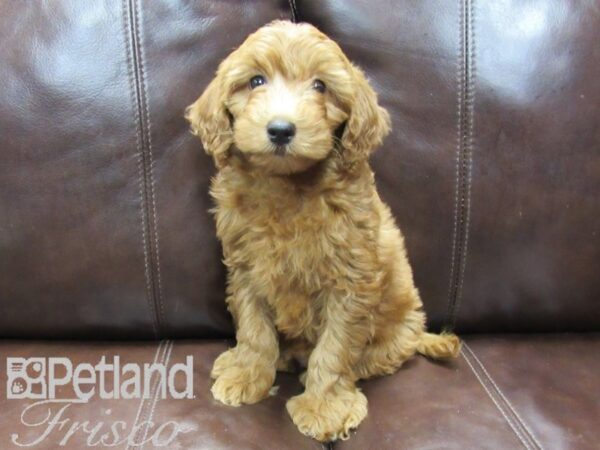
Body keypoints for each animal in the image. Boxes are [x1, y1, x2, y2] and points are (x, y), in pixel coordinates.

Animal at [186, 20, 460, 440]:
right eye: (256, 80)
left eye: (320, 86)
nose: (281, 130)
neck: (288, 185)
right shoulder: (246, 269)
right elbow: (254, 329)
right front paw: (248, 374)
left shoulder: (350, 281)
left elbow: (336, 348)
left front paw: (324, 406)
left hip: (399, 329)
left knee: (373, 358)